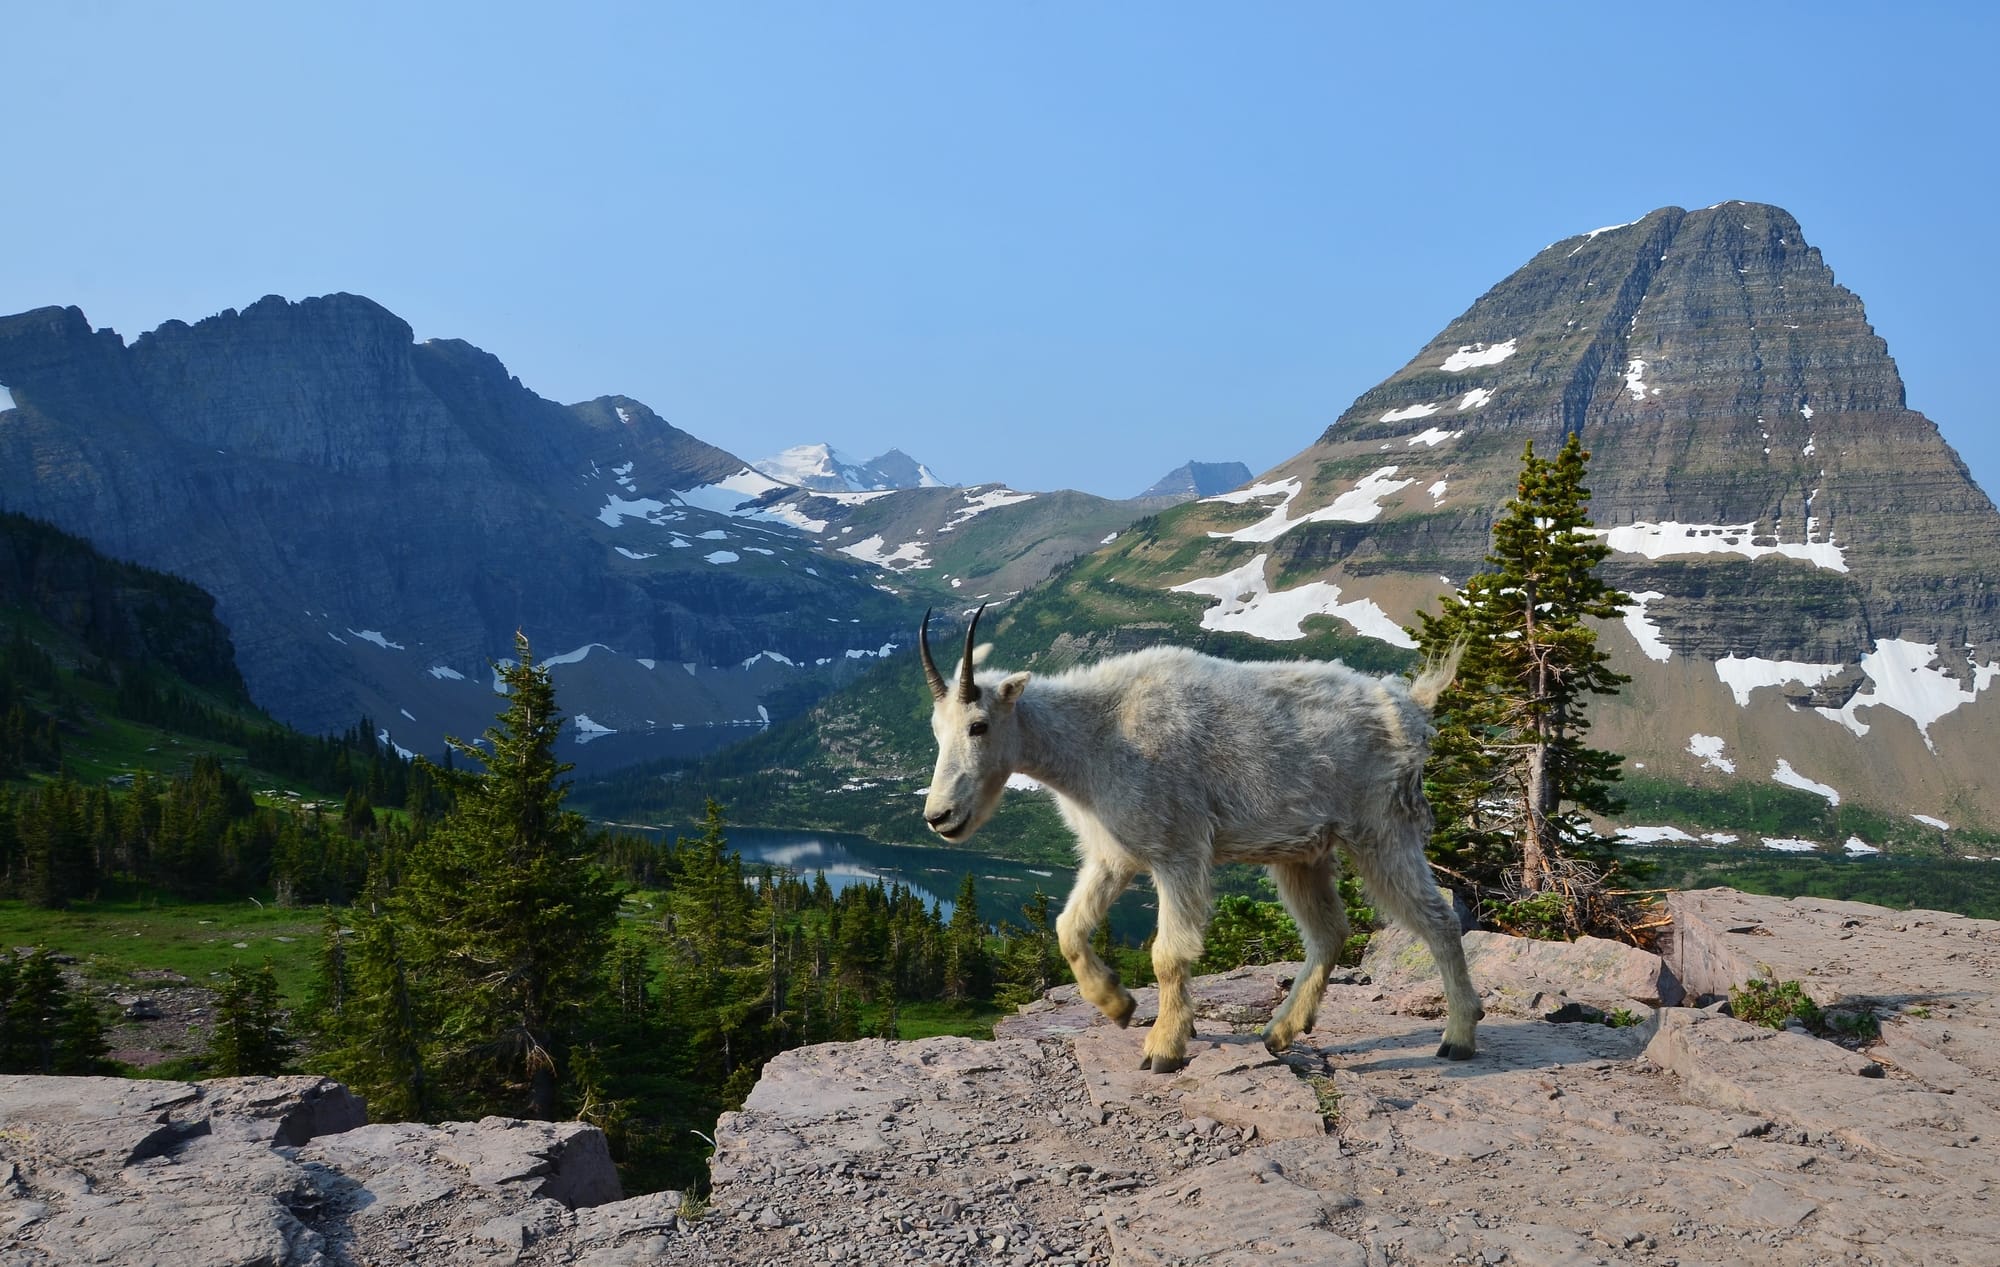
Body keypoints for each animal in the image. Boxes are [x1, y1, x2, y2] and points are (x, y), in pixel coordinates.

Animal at [916, 603, 1472, 1063]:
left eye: (979, 725)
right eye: (935, 730)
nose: (939, 816)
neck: (1096, 738)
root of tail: (1411, 706)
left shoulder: (1177, 851)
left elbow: (1168, 954)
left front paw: (1164, 1047)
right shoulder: (1112, 856)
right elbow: (1068, 928)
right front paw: (1117, 1004)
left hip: (1382, 830)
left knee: (1439, 920)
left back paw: (1459, 1036)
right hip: (1302, 852)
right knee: (1330, 932)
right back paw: (1280, 1031)